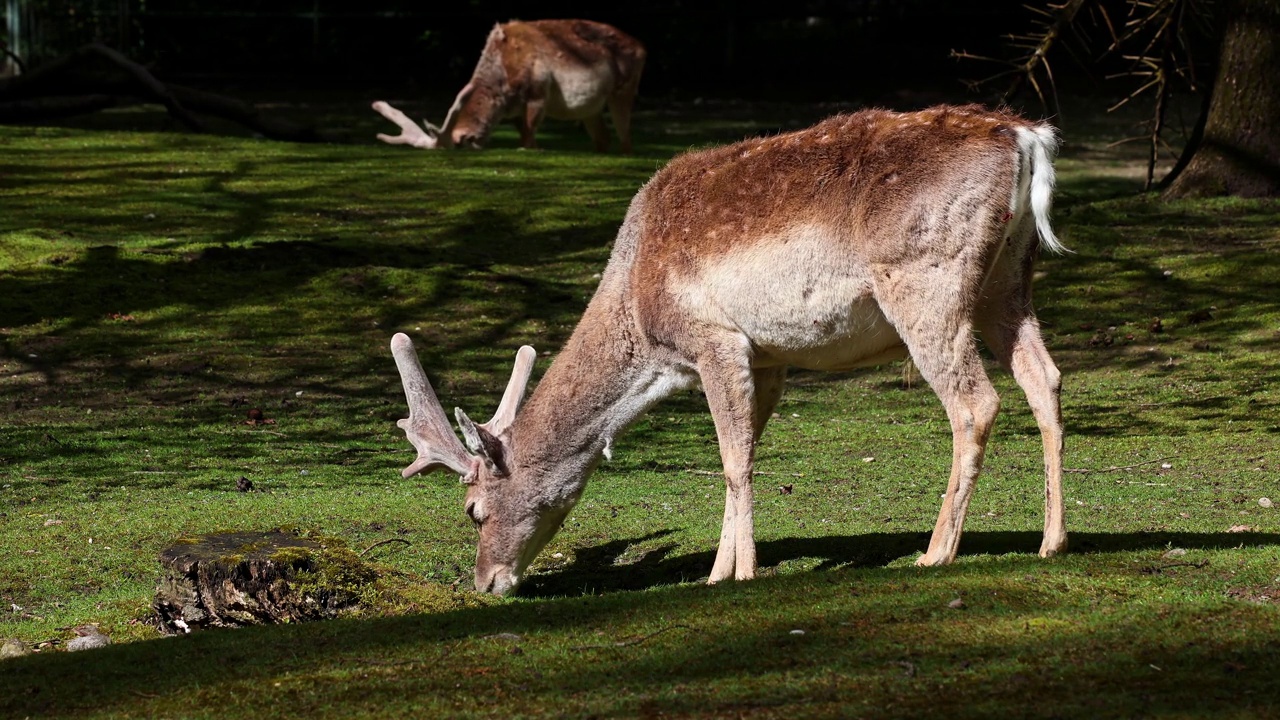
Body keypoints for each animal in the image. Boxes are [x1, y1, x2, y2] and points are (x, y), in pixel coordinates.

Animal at [373, 19, 645, 151]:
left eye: (459, 145)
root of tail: (643, 48)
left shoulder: (538, 90)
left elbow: (530, 133)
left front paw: (532, 148)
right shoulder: (514, 109)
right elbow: (522, 131)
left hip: (624, 89)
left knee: (626, 136)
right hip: (592, 109)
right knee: (603, 137)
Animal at [391, 102, 1070, 594]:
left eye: (473, 510)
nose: (485, 583)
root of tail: (1025, 137)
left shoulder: (715, 340)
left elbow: (732, 461)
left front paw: (740, 573)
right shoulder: (767, 357)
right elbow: (743, 450)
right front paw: (717, 570)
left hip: (926, 283)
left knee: (975, 403)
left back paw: (936, 553)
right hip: (1008, 278)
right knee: (1045, 377)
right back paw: (1051, 541)